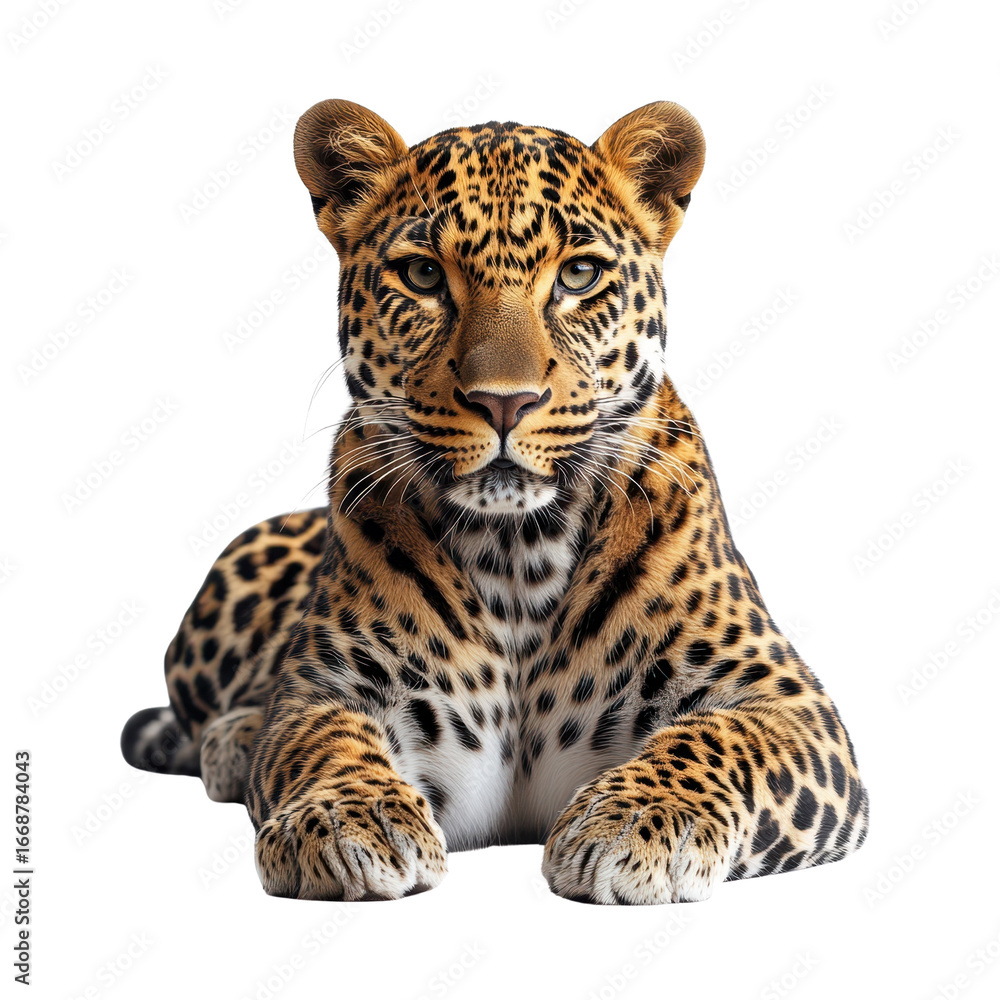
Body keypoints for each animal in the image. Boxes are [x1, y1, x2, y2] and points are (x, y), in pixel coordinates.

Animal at [121, 99, 869, 903]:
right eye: (422, 274)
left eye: (579, 274)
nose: (504, 402)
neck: (519, 554)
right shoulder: (327, 688)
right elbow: (319, 739)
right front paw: (346, 820)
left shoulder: (786, 700)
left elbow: (718, 740)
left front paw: (636, 824)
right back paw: (233, 741)